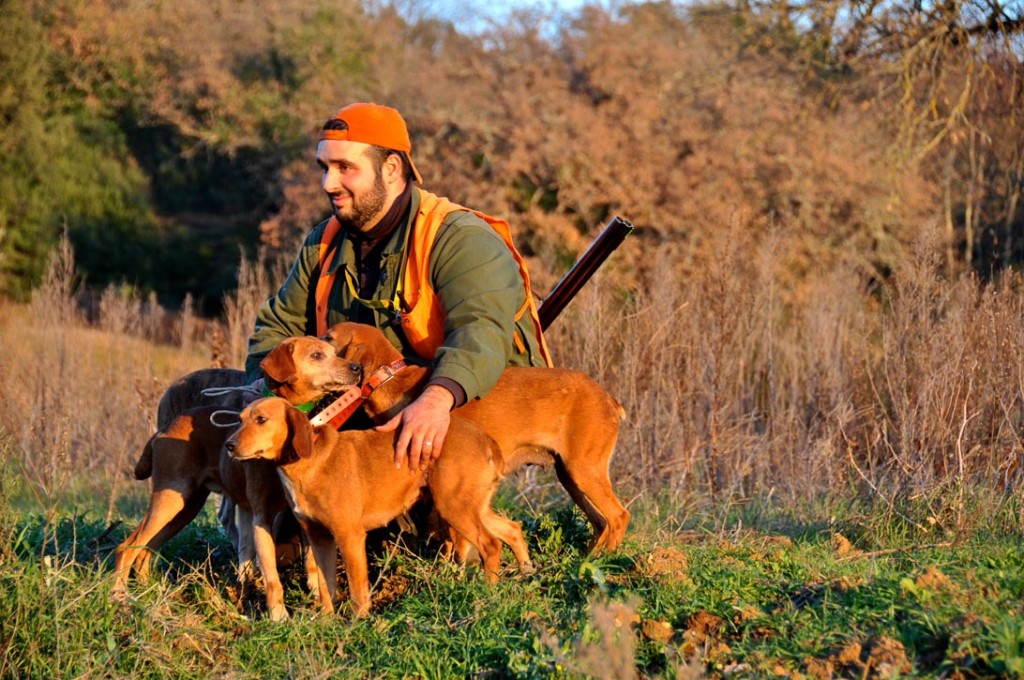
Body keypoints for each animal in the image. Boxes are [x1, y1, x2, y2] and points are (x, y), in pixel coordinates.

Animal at [115, 337, 362, 618]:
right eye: (317, 355)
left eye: (333, 351)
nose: (357, 367)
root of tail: (164, 430)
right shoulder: (261, 517)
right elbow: (272, 577)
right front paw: (279, 616)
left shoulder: (304, 515)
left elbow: (314, 563)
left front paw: (318, 599)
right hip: (169, 499)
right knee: (127, 547)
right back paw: (120, 597)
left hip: (185, 507)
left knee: (145, 549)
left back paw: (151, 594)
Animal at [226, 395, 536, 618]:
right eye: (239, 420)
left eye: (261, 419)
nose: (229, 445)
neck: (307, 461)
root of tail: (485, 439)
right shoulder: (320, 537)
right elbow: (326, 586)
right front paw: (327, 621)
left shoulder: (349, 536)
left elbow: (356, 587)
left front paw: (358, 622)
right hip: (472, 506)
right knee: (512, 529)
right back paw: (527, 572)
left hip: (454, 507)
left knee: (491, 545)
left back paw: (488, 591)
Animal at [323, 323, 626, 553]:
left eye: (328, 338)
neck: (393, 380)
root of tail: (608, 399)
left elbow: (457, 539)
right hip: (571, 476)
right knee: (601, 523)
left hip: (584, 470)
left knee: (618, 517)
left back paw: (604, 560)